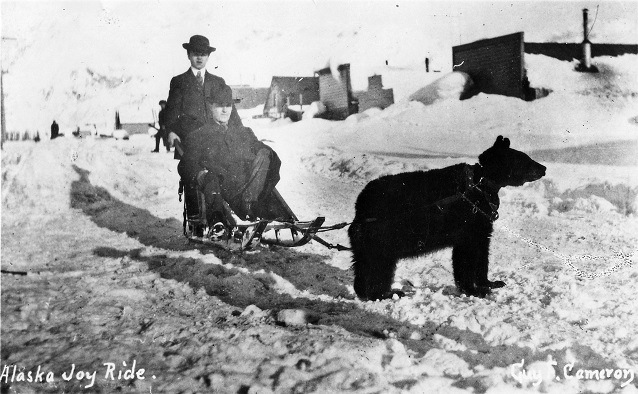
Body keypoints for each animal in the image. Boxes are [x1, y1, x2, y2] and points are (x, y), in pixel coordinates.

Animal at [348, 135, 548, 298]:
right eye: (525, 159)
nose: (544, 168)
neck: (481, 184)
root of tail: (360, 207)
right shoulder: (469, 223)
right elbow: (467, 257)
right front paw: (474, 290)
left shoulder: (480, 225)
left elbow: (479, 254)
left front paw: (489, 283)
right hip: (384, 237)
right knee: (378, 267)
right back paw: (386, 293)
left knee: (365, 267)